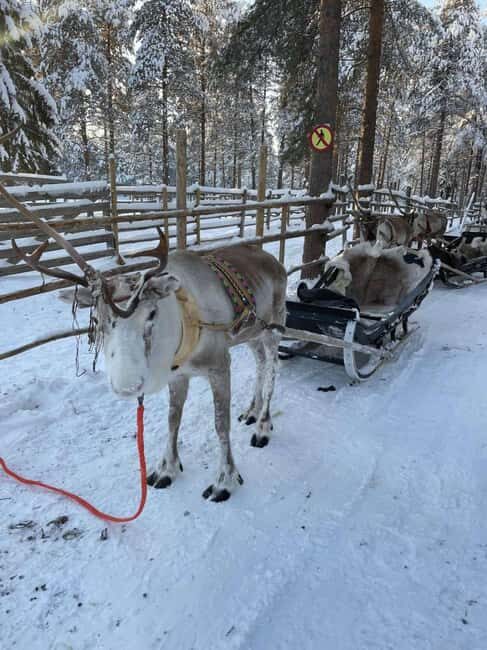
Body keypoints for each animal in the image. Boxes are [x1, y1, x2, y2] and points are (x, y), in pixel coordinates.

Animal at [1, 183, 287, 503]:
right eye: (97, 319)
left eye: (151, 313)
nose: (128, 386)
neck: (184, 319)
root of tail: (274, 261)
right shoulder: (179, 374)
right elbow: (173, 419)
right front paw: (166, 468)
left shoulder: (219, 364)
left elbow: (220, 424)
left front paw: (224, 480)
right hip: (251, 333)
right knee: (260, 362)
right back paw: (251, 410)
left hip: (275, 324)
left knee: (272, 367)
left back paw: (263, 425)